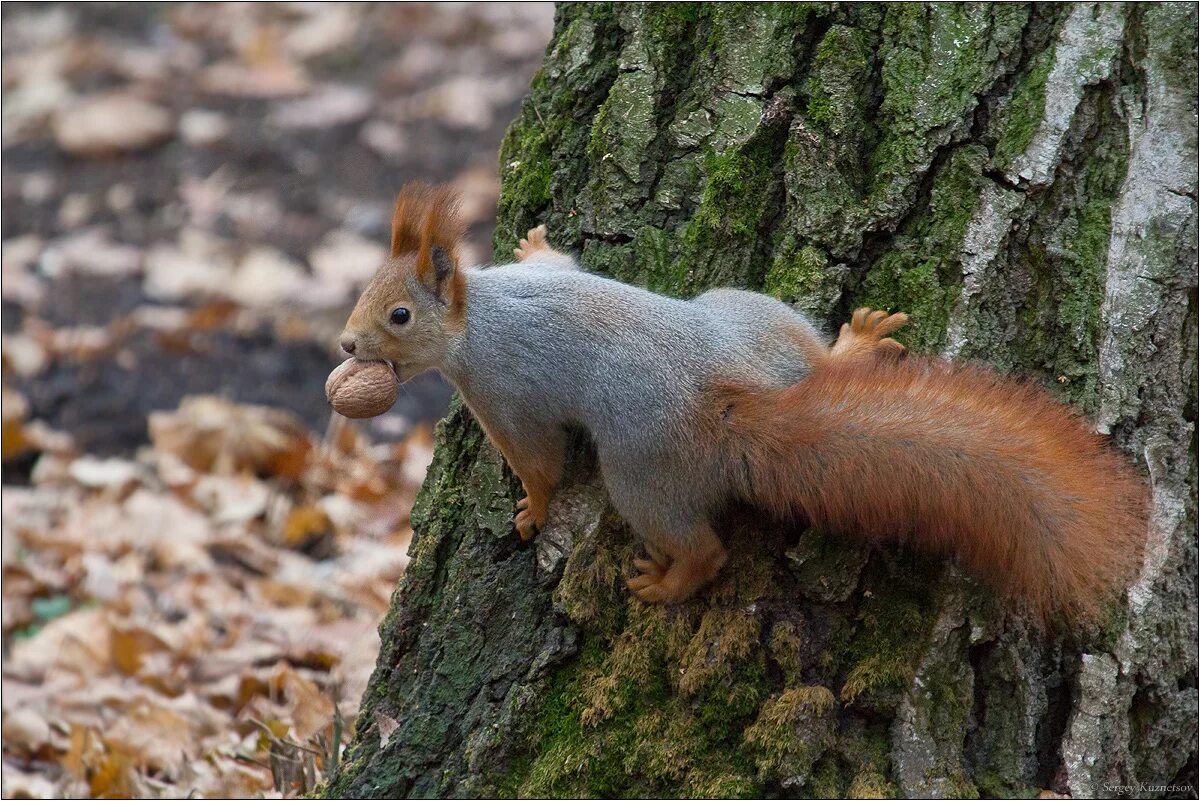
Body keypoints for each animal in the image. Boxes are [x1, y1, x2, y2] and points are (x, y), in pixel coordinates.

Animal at [336, 184, 1142, 623]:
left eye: (398, 315)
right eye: (365, 288)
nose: (345, 343)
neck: (481, 313)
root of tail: (730, 401)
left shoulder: (502, 393)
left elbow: (539, 462)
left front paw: (531, 511)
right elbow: (558, 261)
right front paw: (537, 240)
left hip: (644, 472)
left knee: (704, 546)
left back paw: (669, 583)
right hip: (750, 317)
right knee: (812, 358)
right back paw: (853, 346)